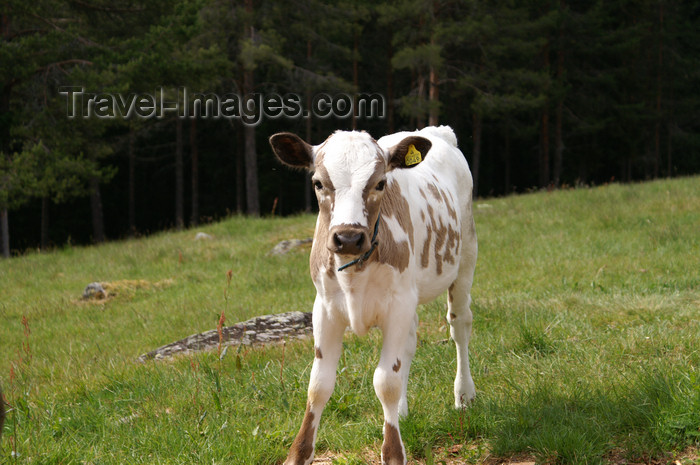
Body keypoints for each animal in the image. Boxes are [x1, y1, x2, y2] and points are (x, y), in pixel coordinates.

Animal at [268, 125, 476, 464]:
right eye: (318, 183)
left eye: (380, 183)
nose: (349, 237)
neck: (354, 271)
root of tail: (435, 131)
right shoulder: (324, 308)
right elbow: (318, 384)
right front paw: (299, 453)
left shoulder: (397, 306)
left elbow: (385, 381)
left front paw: (392, 452)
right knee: (409, 345)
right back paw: (401, 412)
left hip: (466, 258)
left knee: (459, 326)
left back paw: (464, 394)